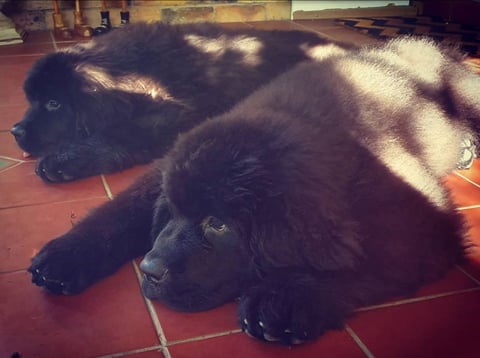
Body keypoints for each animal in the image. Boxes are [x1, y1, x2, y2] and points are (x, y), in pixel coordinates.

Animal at [10, 21, 334, 182]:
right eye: (31, 100)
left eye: (54, 104)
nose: (15, 131)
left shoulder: (178, 115)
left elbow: (119, 134)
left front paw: (63, 161)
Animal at [28, 38, 478, 344]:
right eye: (171, 210)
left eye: (218, 225)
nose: (149, 270)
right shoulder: (160, 170)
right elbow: (119, 211)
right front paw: (66, 255)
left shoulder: (422, 221)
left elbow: (367, 262)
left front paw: (285, 297)